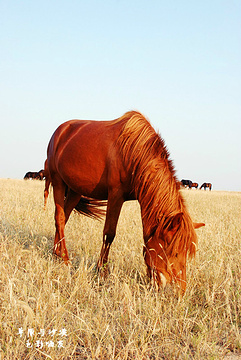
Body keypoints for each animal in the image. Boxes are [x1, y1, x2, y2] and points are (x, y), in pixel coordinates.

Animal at [44, 110, 203, 296]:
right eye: (173, 251)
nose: (180, 291)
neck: (134, 152)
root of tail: (59, 132)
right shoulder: (115, 195)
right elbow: (109, 234)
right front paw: (102, 271)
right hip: (58, 182)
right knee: (60, 218)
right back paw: (65, 259)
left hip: (76, 189)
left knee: (64, 218)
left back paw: (56, 253)